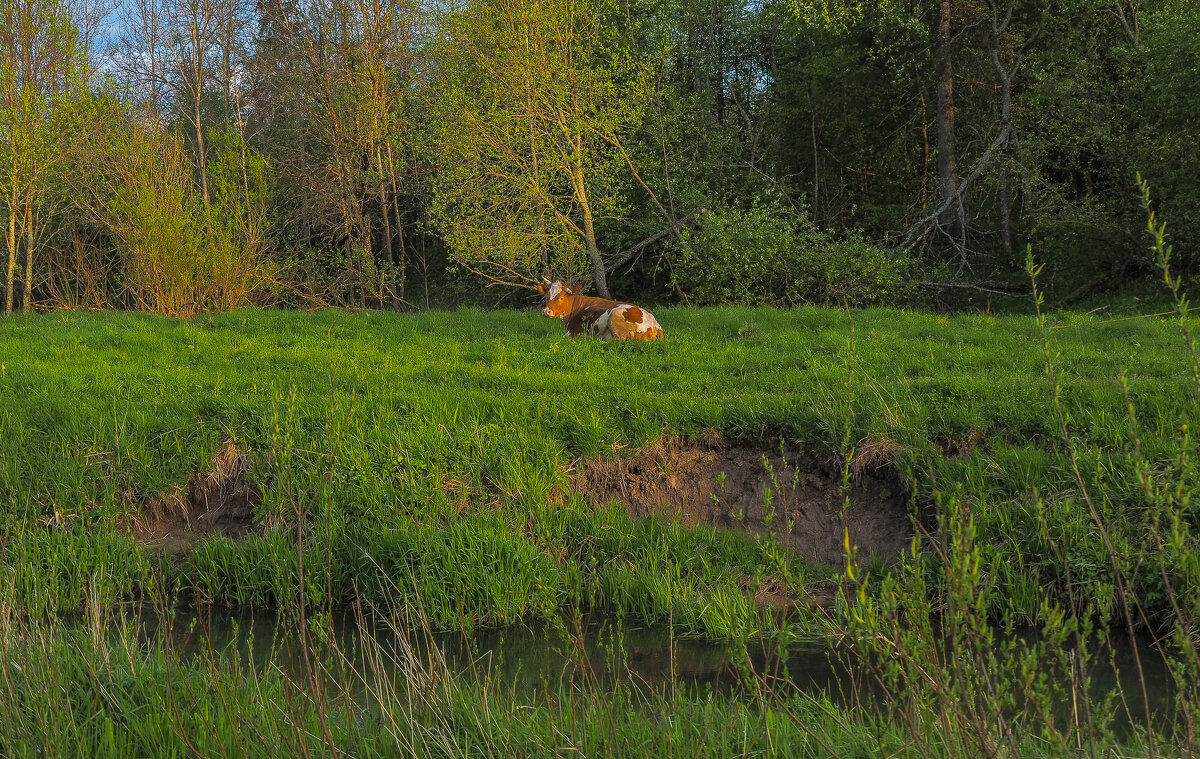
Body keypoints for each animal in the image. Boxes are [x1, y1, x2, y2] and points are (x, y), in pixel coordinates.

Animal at [537, 282, 667, 341]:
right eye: (547, 296)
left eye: (561, 298)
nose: (546, 311)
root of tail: (654, 324)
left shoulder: (572, 333)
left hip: (615, 315)